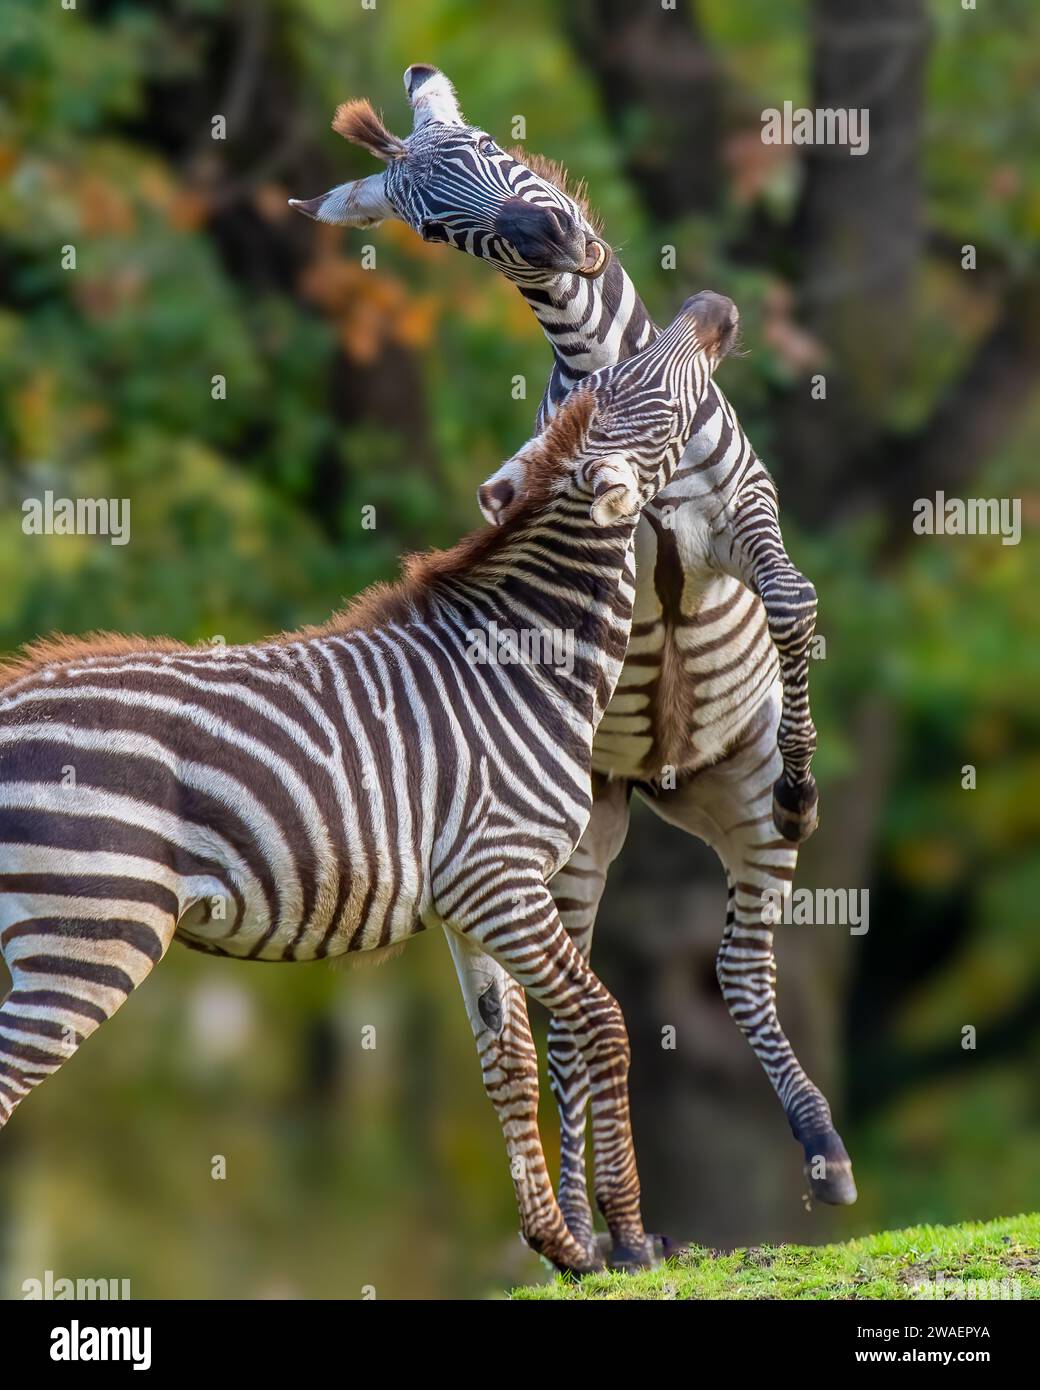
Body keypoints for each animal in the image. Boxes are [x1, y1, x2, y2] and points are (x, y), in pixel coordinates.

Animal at [0, 292, 735, 1275]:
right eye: (639, 388)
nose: (713, 307)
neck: (527, 662)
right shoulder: (504, 879)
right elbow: (601, 1022)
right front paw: (624, 1237)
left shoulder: (474, 899)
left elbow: (506, 1062)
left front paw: (558, 1245)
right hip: (87, 933)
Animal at [290, 64, 857, 1255]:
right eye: (430, 226)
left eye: (492, 154)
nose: (549, 236)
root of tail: (661, 783)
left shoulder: (741, 511)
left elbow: (790, 597)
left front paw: (804, 776)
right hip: (577, 835)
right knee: (568, 1008)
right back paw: (602, 1226)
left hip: (727, 805)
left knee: (738, 970)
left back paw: (818, 1145)